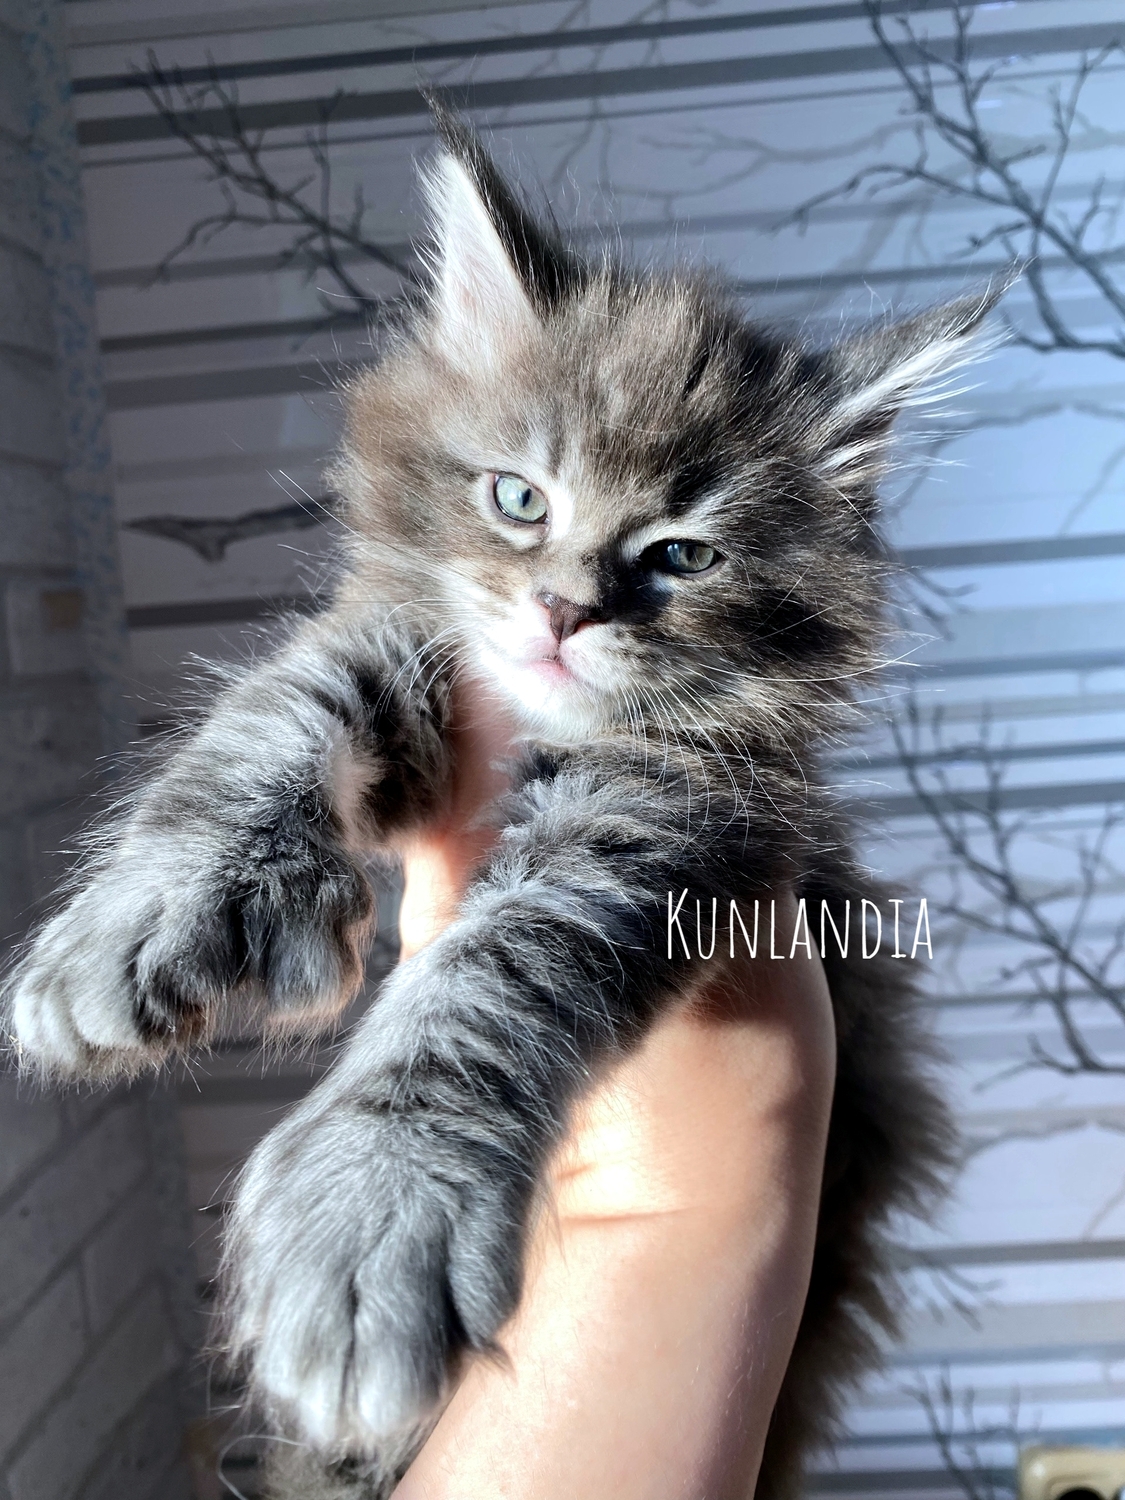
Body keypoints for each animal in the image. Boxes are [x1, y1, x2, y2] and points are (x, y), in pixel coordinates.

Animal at [4, 106, 1001, 1498]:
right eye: (520, 499)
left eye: (681, 556)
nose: (564, 611)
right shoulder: (400, 640)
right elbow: (282, 705)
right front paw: (141, 919)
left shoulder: (684, 811)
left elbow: (504, 963)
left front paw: (373, 1206)